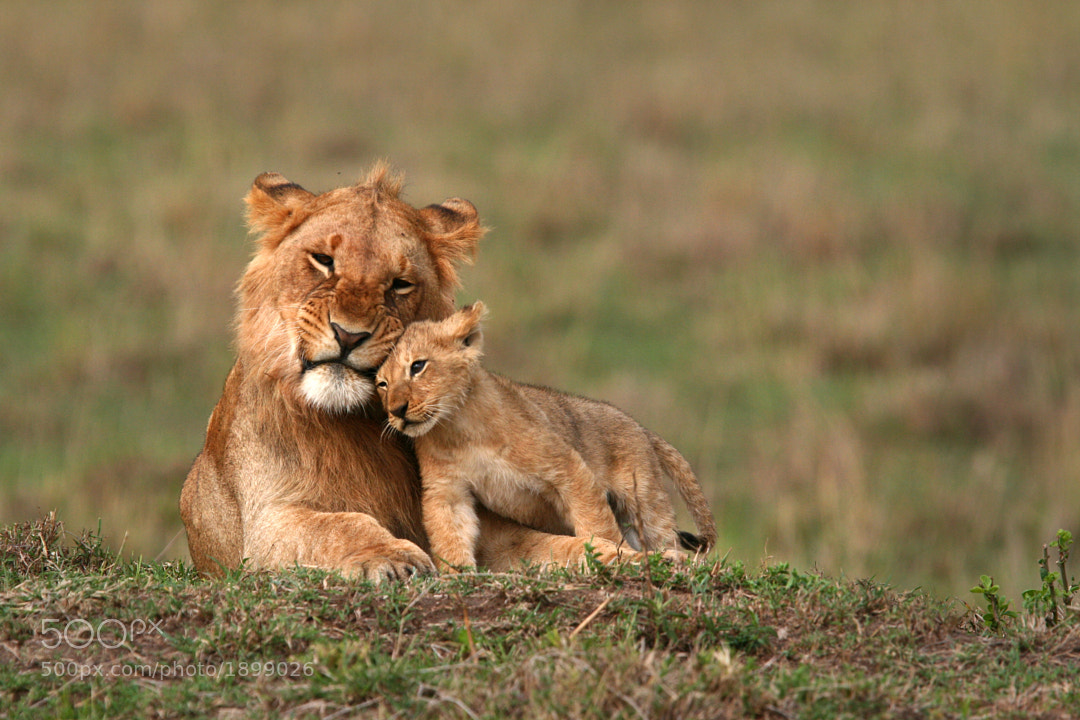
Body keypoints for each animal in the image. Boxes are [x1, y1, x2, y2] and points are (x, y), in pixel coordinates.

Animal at [179, 164, 638, 581]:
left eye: (399, 283)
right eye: (323, 260)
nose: (348, 334)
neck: (354, 422)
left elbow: (548, 545)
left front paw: (629, 557)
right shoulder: (265, 523)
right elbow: (337, 525)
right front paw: (390, 556)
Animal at [375, 301, 718, 571]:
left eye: (418, 366)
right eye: (382, 384)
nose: (396, 411)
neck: (457, 427)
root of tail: (639, 426)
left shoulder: (567, 467)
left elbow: (595, 523)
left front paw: (612, 554)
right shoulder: (448, 491)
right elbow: (449, 535)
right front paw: (457, 577)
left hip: (644, 498)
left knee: (661, 532)